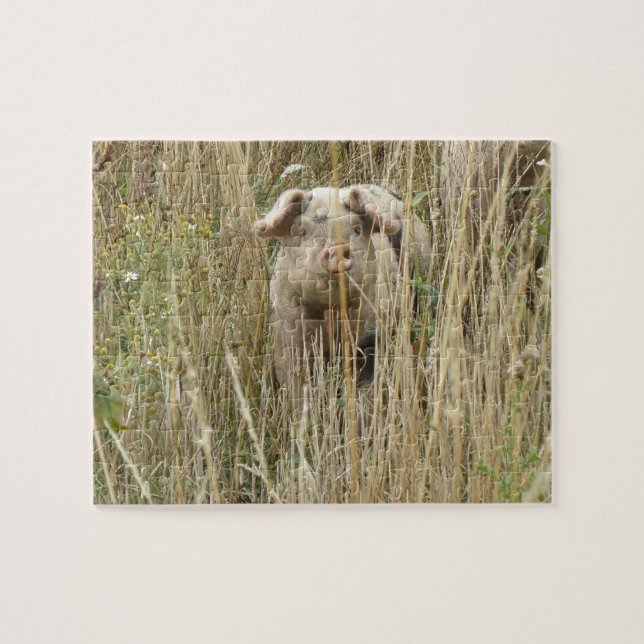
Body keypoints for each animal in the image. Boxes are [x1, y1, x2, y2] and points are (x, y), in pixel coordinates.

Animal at [253, 184, 430, 396]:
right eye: (301, 232)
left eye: (356, 229)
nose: (337, 248)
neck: (331, 314)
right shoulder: (286, 334)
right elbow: (296, 383)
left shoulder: (372, 333)